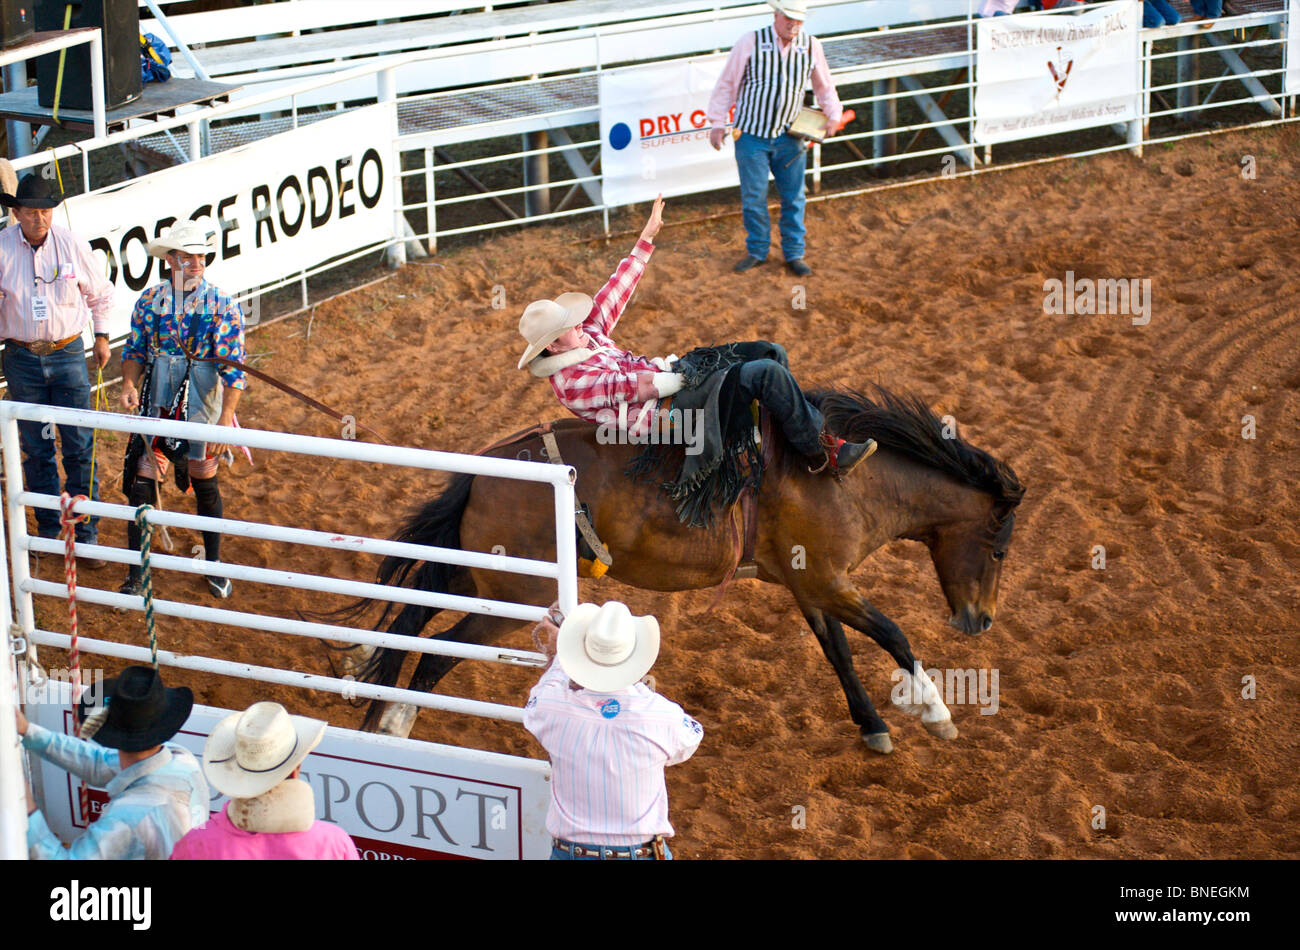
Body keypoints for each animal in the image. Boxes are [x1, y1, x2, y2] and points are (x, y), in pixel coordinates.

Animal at [335, 382, 1024, 753]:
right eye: (999, 550)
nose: (982, 621)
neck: (844, 479)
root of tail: (485, 472)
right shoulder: (829, 580)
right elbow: (893, 633)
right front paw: (936, 714)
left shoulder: (810, 583)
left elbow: (840, 654)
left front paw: (874, 727)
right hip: (515, 599)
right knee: (437, 657)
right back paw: (395, 726)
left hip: (477, 575)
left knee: (412, 629)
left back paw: (378, 709)